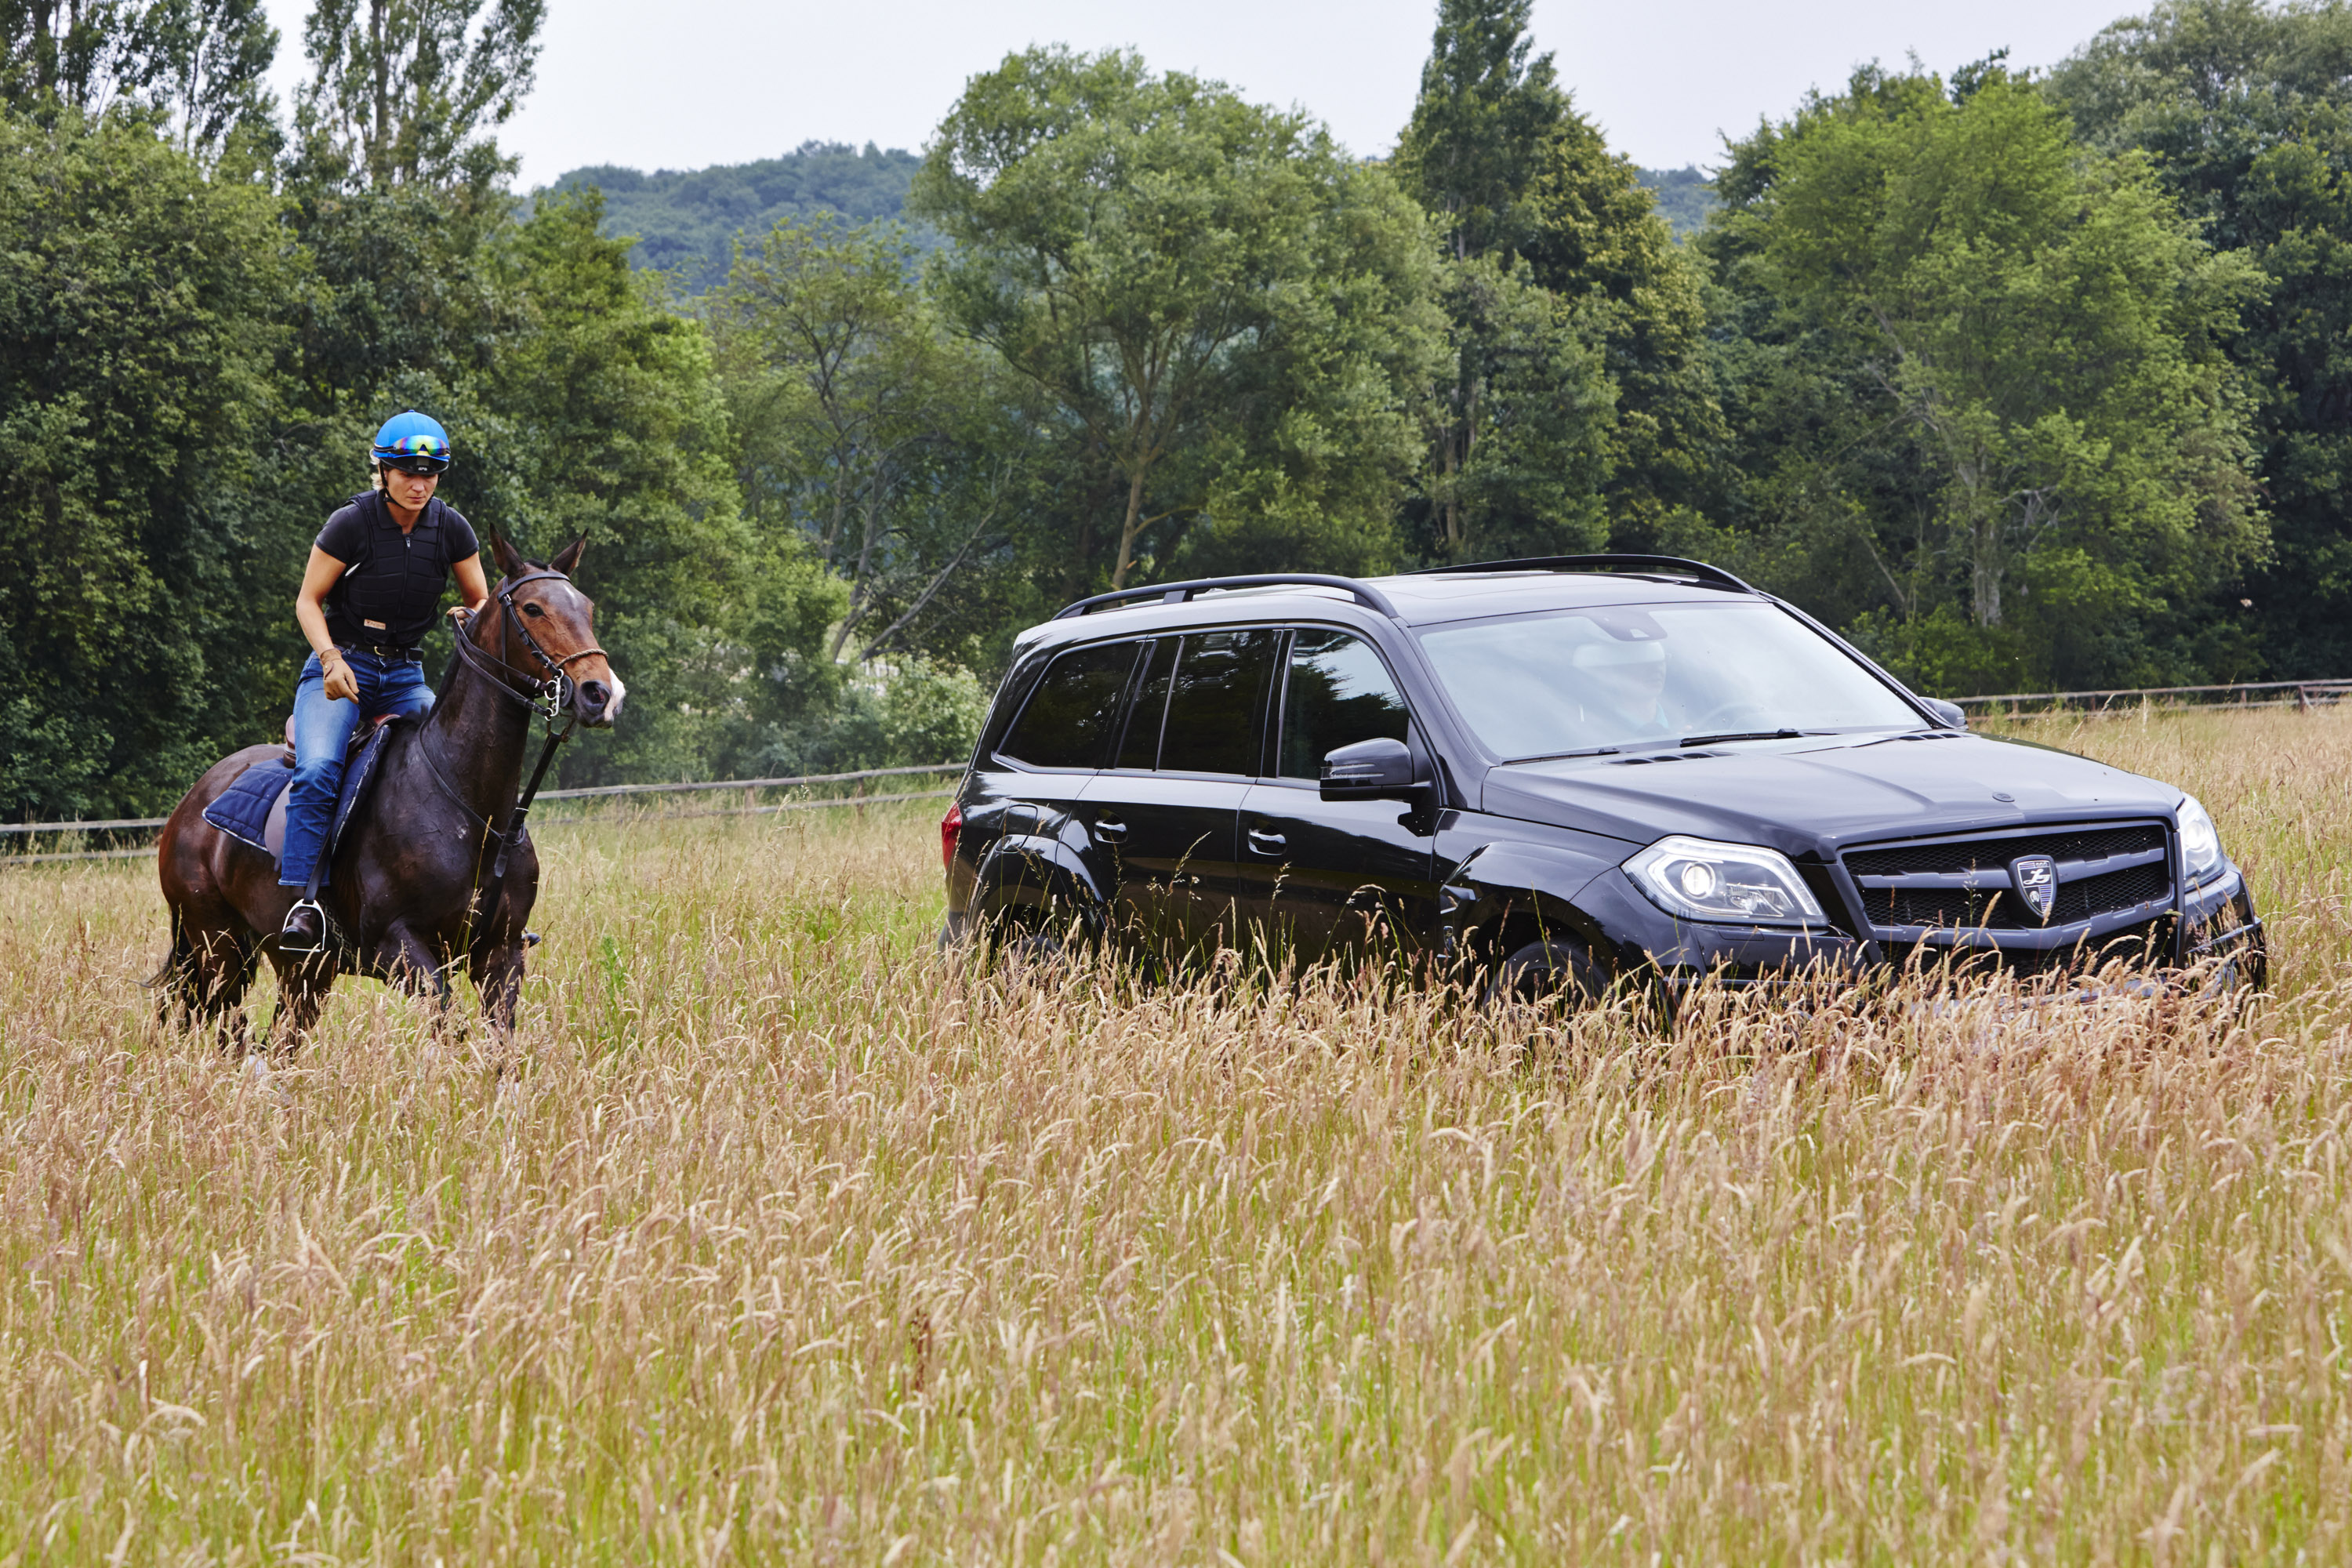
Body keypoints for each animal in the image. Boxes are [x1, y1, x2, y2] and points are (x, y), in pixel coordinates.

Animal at [151, 535, 621, 1053]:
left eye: (587, 608)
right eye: (533, 608)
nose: (601, 694)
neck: (474, 812)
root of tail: (190, 804)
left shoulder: (501, 953)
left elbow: (498, 1046)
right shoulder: (397, 947)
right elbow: (452, 1028)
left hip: (301, 968)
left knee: (280, 1040)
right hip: (218, 947)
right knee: (227, 1031)